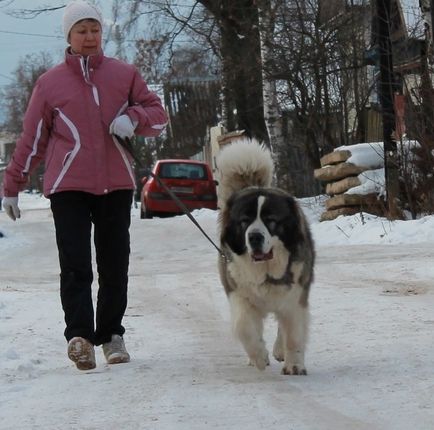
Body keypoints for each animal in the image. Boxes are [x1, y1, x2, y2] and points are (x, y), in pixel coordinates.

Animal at [217, 139, 316, 374]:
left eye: (271, 220)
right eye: (244, 221)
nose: (254, 237)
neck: (266, 270)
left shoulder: (295, 296)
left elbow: (293, 334)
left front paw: (294, 364)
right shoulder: (239, 293)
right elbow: (243, 326)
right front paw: (259, 357)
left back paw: (280, 351)